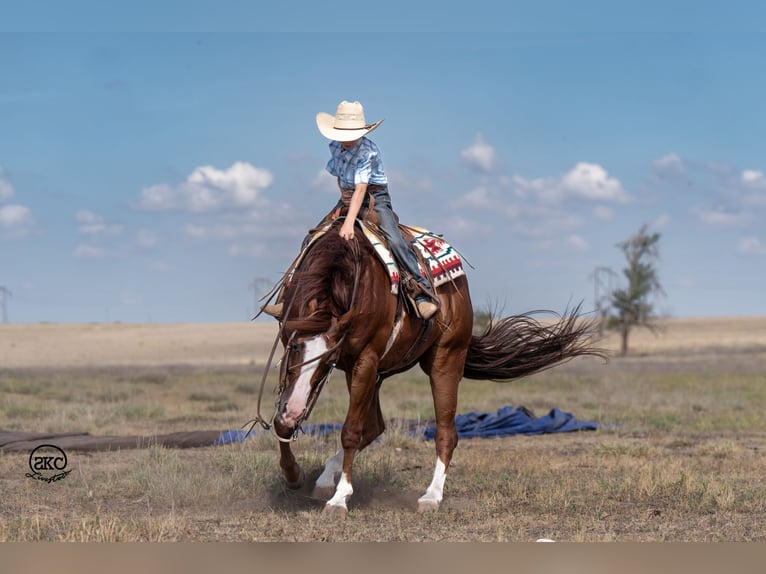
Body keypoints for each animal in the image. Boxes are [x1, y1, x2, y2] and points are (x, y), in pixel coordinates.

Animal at [260, 217, 604, 516]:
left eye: (329, 358)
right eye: (294, 347)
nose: (295, 409)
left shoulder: (364, 360)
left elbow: (350, 431)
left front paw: (340, 499)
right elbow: (282, 422)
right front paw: (293, 474)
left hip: (444, 361)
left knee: (444, 432)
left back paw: (431, 496)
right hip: (376, 374)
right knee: (376, 426)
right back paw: (322, 479)